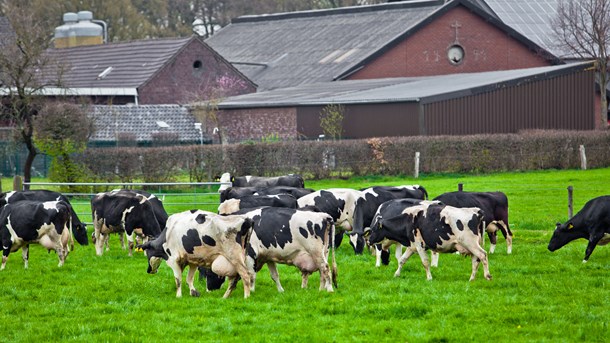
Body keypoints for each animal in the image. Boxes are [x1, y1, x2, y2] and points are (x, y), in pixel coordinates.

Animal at [360, 204, 490, 282]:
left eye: (374, 230)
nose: (369, 241)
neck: (407, 221)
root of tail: (476, 211)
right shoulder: (412, 246)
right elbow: (402, 260)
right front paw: (396, 274)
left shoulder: (419, 245)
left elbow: (425, 262)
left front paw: (429, 278)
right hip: (472, 245)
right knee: (476, 260)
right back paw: (471, 278)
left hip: (470, 243)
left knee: (482, 255)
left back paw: (487, 276)